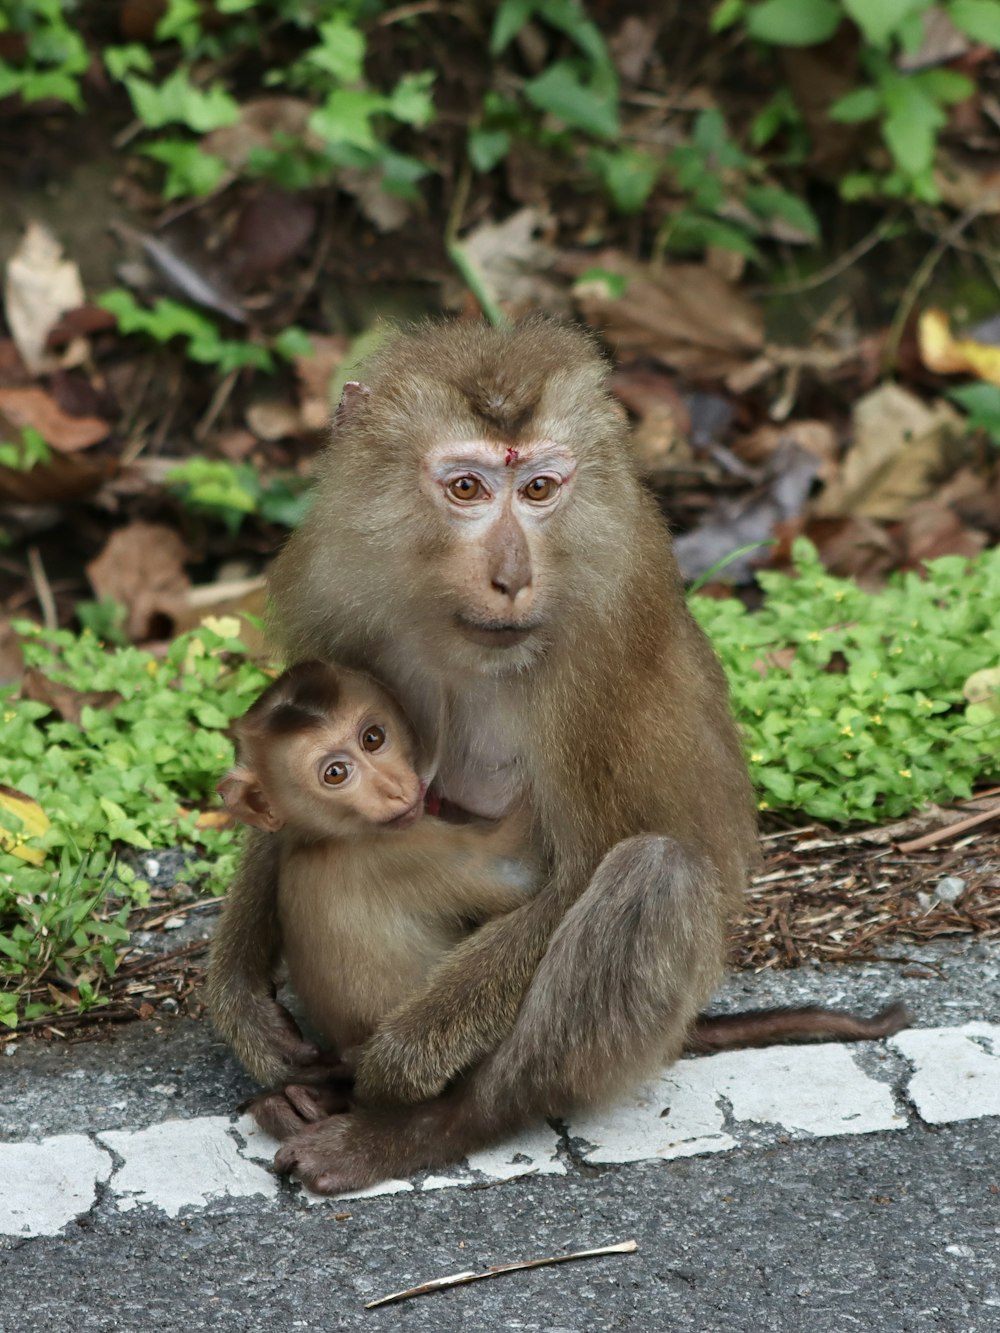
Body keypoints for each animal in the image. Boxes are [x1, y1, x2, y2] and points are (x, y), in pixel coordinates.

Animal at [218, 661, 533, 1119]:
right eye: (335, 773)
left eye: (373, 738)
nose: (394, 788)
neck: (325, 838)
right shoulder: (406, 851)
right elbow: (524, 873)